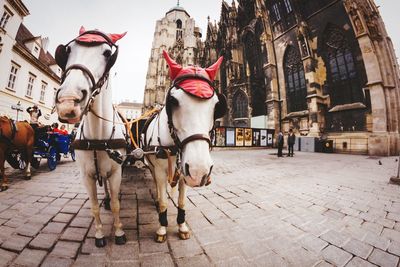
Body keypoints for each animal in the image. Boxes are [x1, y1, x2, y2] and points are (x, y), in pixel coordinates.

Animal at [54, 26, 126, 248]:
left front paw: (119, 232)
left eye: (107, 54)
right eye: (67, 50)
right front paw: (100, 234)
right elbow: (94, 206)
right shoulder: (86, 176)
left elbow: (117, 204)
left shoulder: (116, 172)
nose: (68, 100)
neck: (97, 138)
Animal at [144, 50, 227, 243]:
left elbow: (182, 202)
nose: (199, 170)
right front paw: (162, 228)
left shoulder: (183, 172)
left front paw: (182, 226)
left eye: (216, 106)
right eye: (173, 101)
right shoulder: (161, 170)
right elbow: (164, 201)